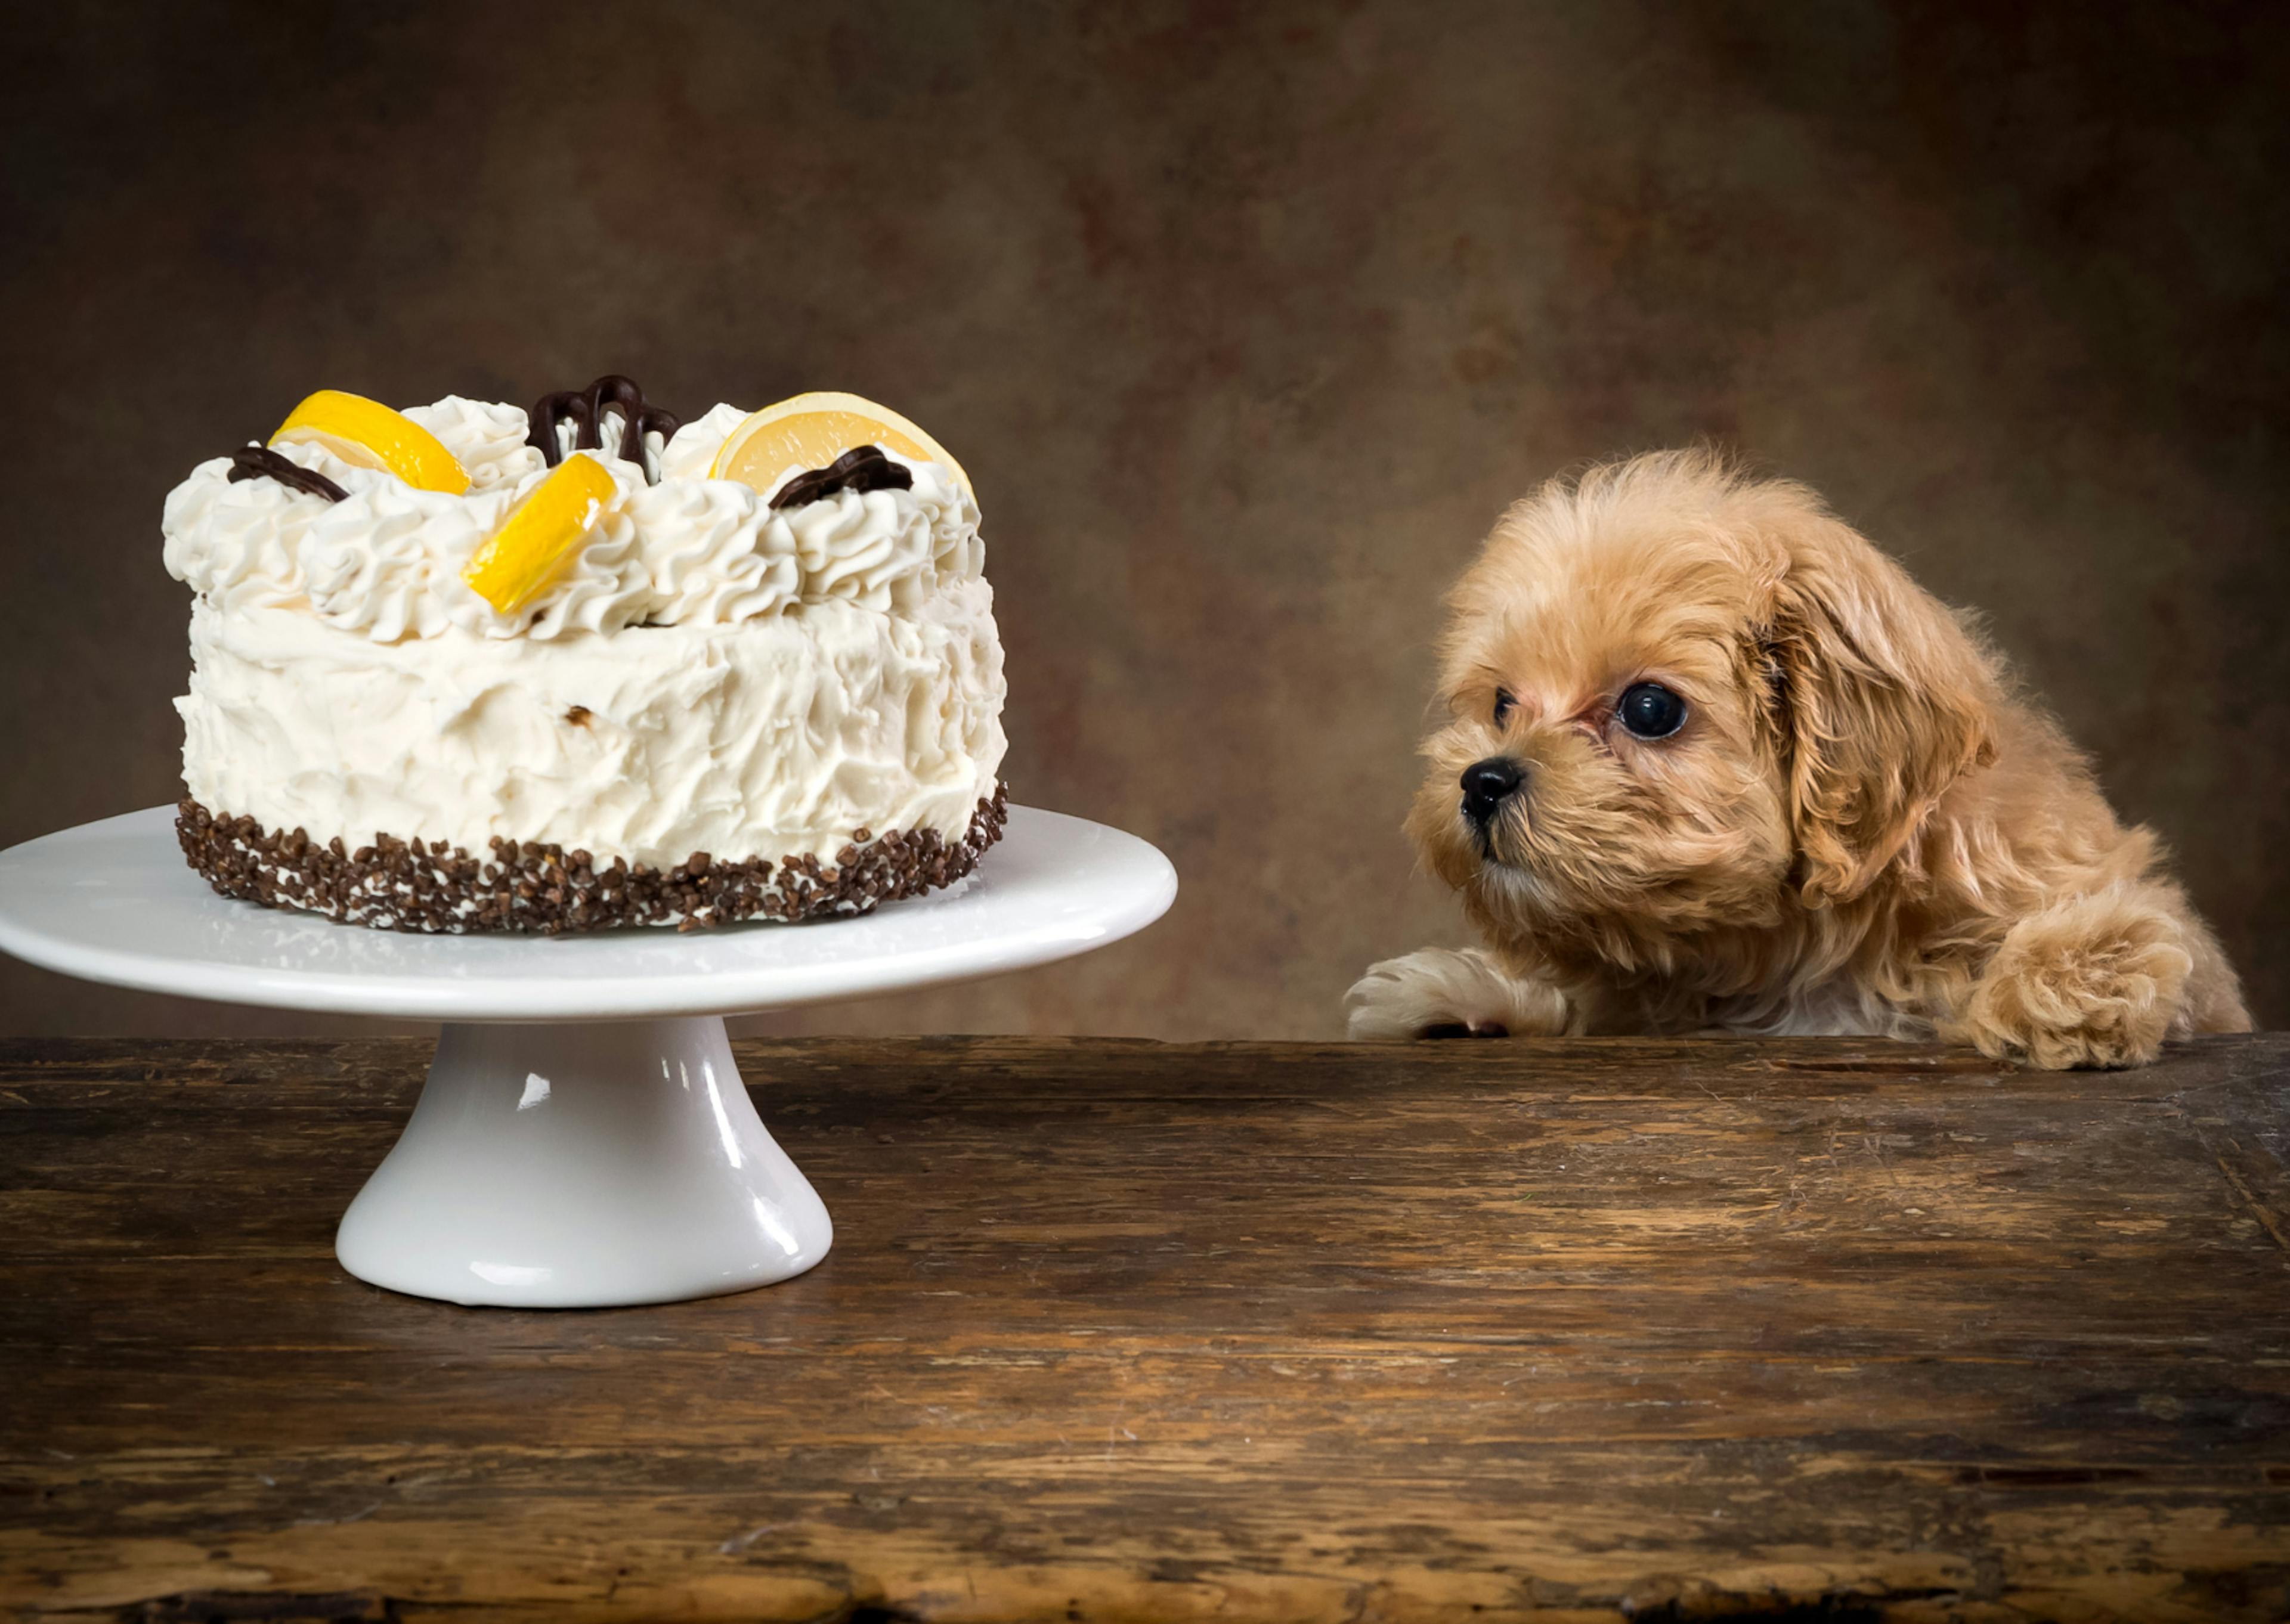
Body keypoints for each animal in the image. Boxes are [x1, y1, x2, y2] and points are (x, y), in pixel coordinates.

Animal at [1346, 447, 2244, 1062]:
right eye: (1503, 704)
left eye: (1649, 710)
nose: (1482, 781)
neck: (1795, 953)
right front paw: (1466, 998)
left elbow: (2155, 934)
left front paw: (2064, 981)